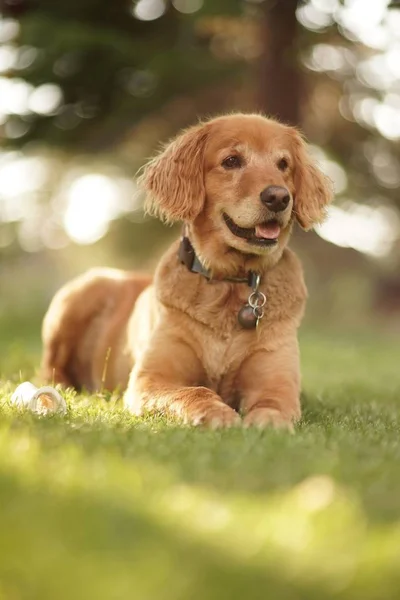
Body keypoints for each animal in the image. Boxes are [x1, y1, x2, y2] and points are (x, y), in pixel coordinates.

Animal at [42, 113, 332, 432]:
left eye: (283, 164)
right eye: (231, 161)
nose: (278, 197)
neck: (229, 283)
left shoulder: (277, 380)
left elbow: (273, 404)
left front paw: (269, 423)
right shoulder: (151, 378)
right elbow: (195, 390)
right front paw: (215, 412)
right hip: (78, 295)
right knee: (49, 370)